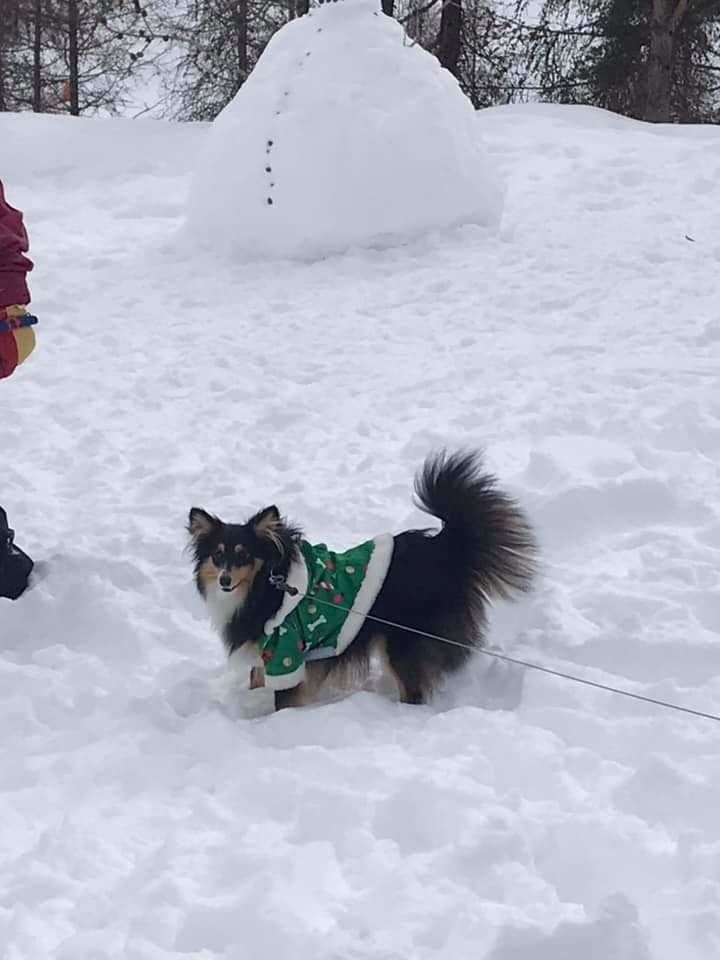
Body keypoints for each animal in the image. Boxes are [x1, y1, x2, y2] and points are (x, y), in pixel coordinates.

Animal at [188, 446, 536, 708]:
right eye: (217, 555)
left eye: (244, 555)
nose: (224, 580)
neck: (266, 586)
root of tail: (443, 547)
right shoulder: (268, 654)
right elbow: (256, 680)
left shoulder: (286, 653)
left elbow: (282, 701)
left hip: (402, 641)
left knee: (415, 691)